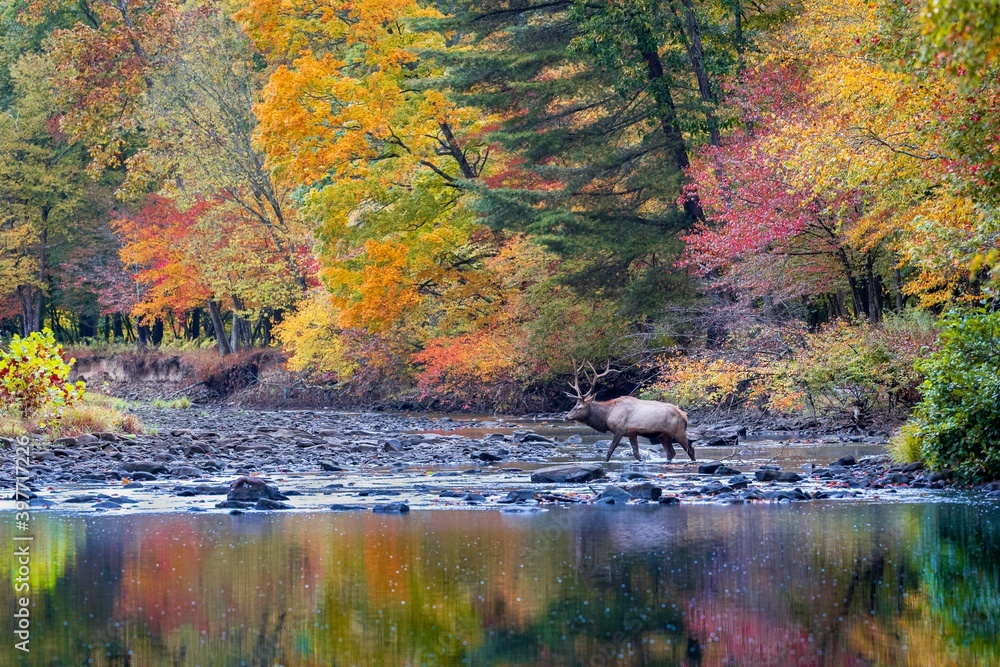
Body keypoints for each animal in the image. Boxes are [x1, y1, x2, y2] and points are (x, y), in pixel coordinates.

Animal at [564, 361, 696, 462]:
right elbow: (636, 453)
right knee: (671, 452)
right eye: (574, 406)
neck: (607, 416)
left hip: (678, 431)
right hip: (663, 434)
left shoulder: (619, 429)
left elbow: (610, 451)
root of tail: (685, 416)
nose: (566, 417)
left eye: (579, 407)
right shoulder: (632, 433)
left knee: (690, 449)